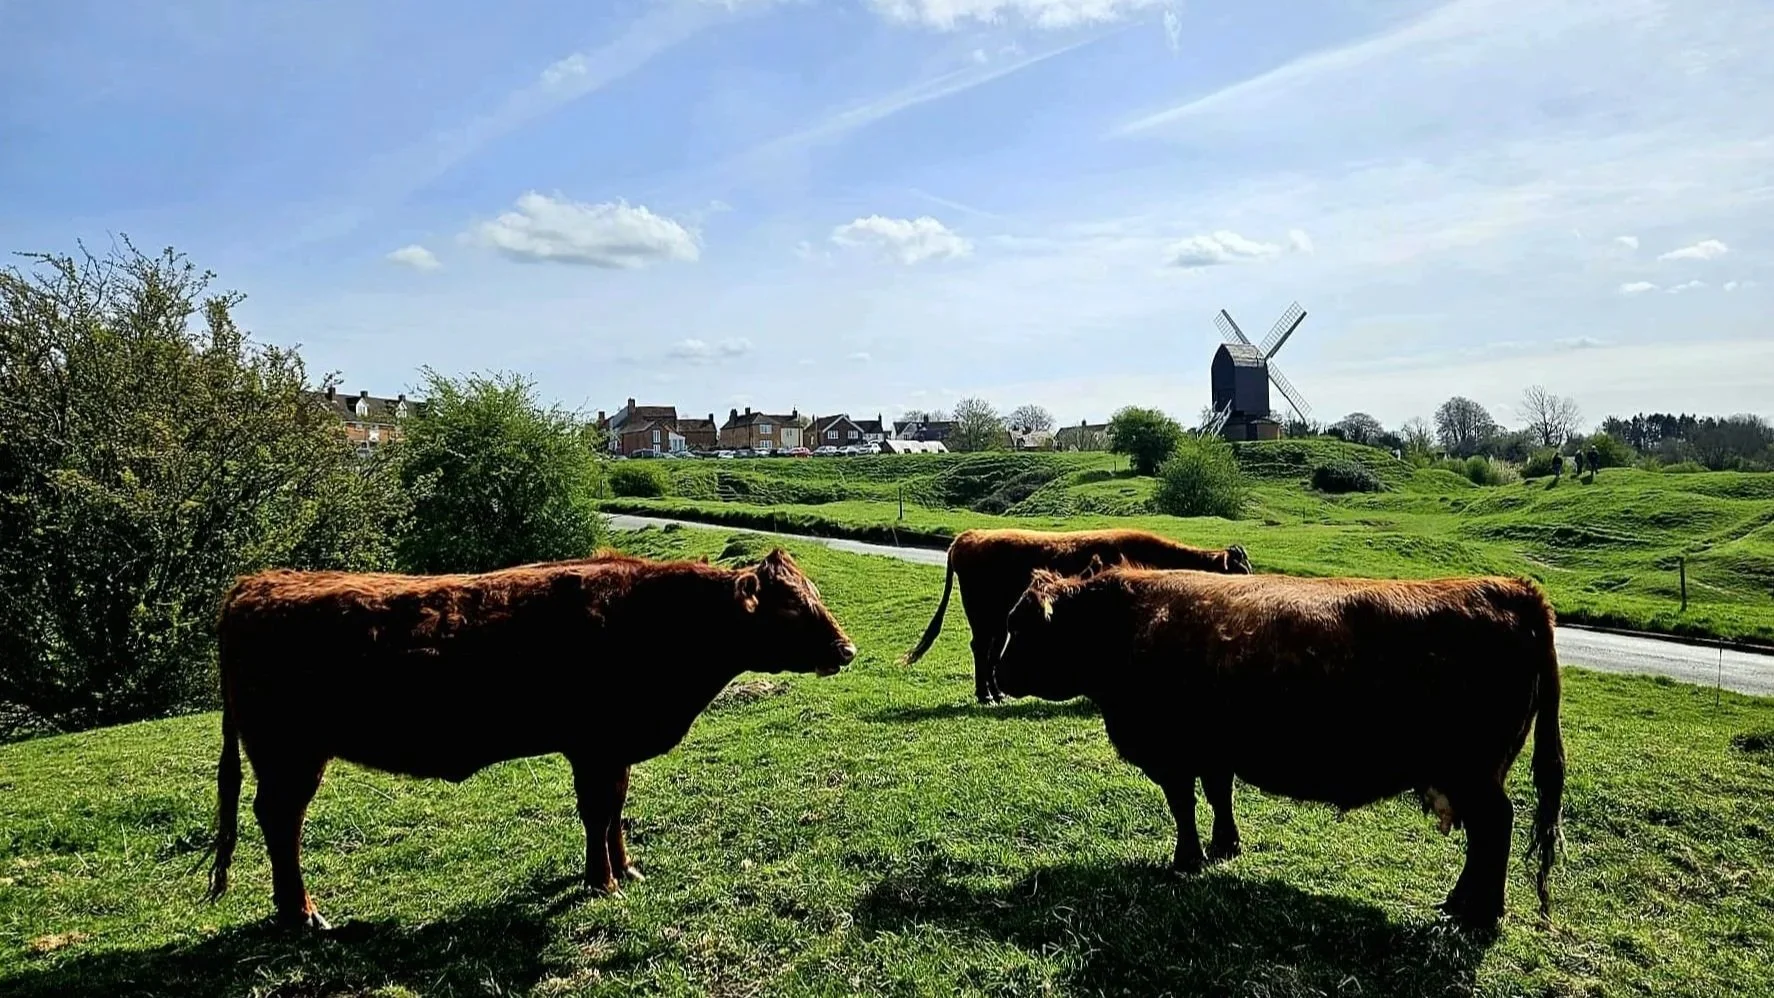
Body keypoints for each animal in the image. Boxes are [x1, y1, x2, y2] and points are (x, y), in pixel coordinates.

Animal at [203, 548, 856, 930]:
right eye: (792, 607)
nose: (845, 649)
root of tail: (257, 583)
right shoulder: (595, 745)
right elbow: (598, 812)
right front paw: (602, 882)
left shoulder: (612, 748)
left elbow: (615, 811)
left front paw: (628, 869)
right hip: (291, 754)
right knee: (280, 821)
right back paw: (303, 913)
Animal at [900, 528, 1251, 704]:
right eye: (1240, 572)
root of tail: (967, 537)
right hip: (983, 615)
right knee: (980, 648)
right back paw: (985, 695)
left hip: (999, 619)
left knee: (991, 651)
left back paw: (996, 693)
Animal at [993, 557, 1565, 931]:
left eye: (1020, 626)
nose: (997, 673)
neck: (1126, 622)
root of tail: (1515, 591)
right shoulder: (1213, 751)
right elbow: (1218, 796)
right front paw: (1225, 846)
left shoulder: (1173, 754)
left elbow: (1184, 806)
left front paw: (1186, 859)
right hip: (1472, 775)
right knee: (1484, 838)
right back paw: (1459, 903)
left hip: (1475, 774)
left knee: (1496, 828)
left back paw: (1482, 913)